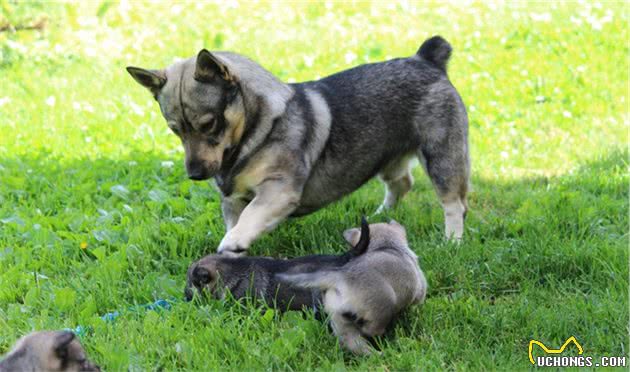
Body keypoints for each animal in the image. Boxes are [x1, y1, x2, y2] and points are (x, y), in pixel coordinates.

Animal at [128, 35, 472, 256]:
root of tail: (426, 60)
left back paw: (452, 241)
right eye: (175, 131)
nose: (195, 174)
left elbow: (251, 217)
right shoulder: (234, 200)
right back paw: (381, 215)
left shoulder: (277, 191)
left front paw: (232, 242)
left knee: (454, 203)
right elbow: (238, 220)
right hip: (388, 161)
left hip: (442, 157)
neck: (252, 135)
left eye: (209, 124)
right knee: (402, 183)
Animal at [278, 219, 428, 356]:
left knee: (355, 343)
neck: (387, 246)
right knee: (370, 329)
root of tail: (341, 276)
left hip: (340, 321)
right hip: (383, 307)